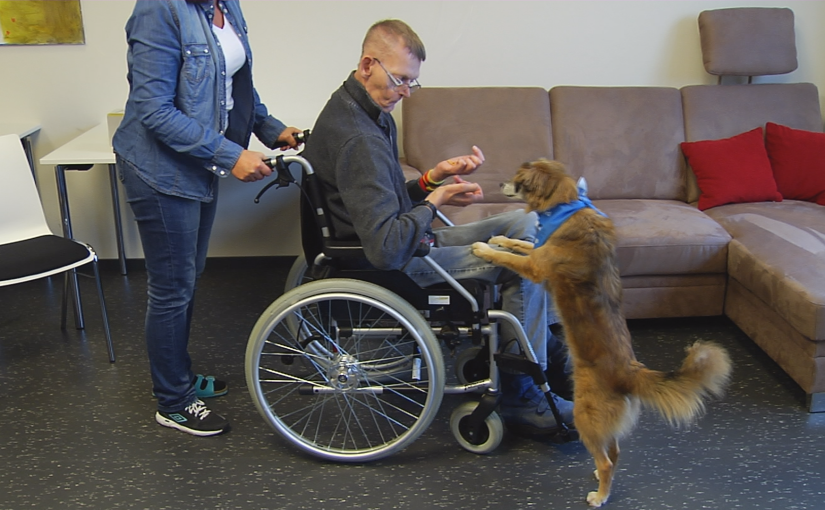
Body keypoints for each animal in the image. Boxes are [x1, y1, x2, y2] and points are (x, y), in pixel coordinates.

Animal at [474, 158, 732, 506]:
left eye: (519, 179)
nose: (500, 184)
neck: (566, 205)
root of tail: (630, 372)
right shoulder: (538, 251)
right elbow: (520, 243)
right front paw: (498, 238)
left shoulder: (536, 267)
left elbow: (508, 256)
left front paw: (482, 247)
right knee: (616, 452)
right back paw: (599, 478)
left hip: (585, 415)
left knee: (608, 460)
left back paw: (600, 495)